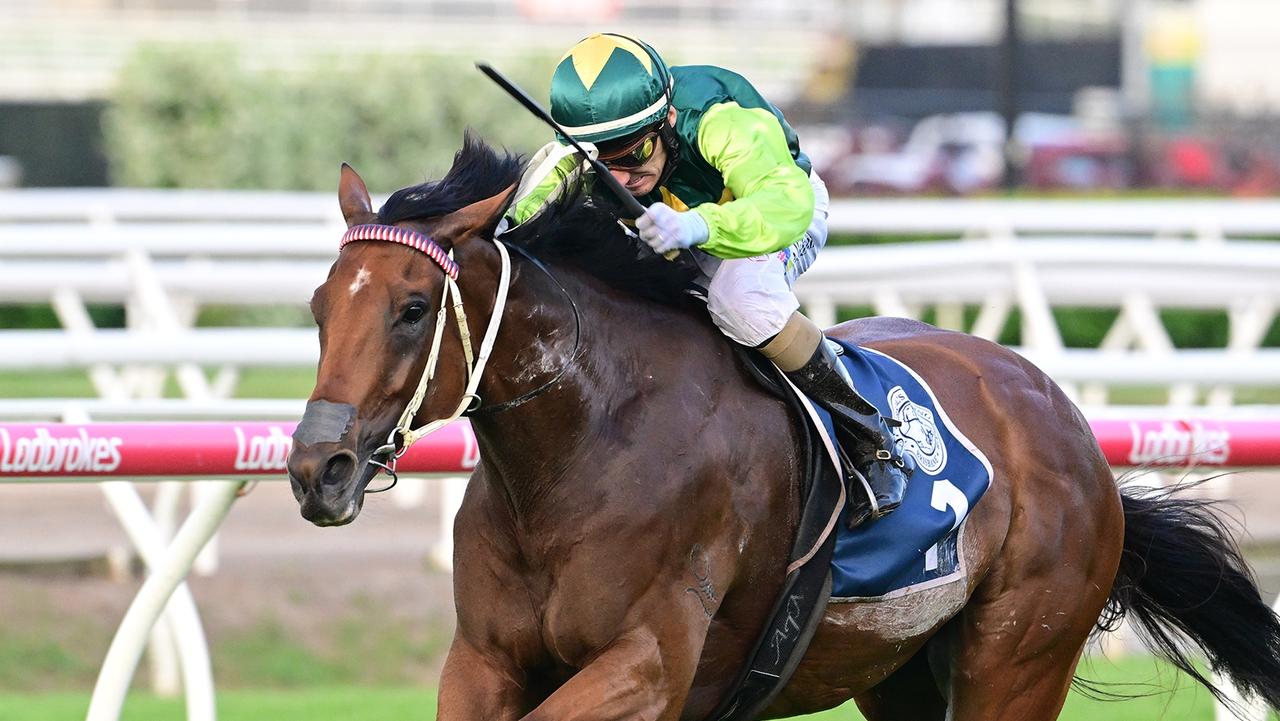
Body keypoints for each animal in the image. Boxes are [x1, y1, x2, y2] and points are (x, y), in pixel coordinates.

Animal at [288, 137, 1280, 721]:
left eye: (413, 308)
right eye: (318, 307)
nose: (316, 467)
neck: (580, 449)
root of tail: (1062, 416)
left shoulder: (649, 660)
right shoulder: (483, 660)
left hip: (1020, 654)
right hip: (903, 672)